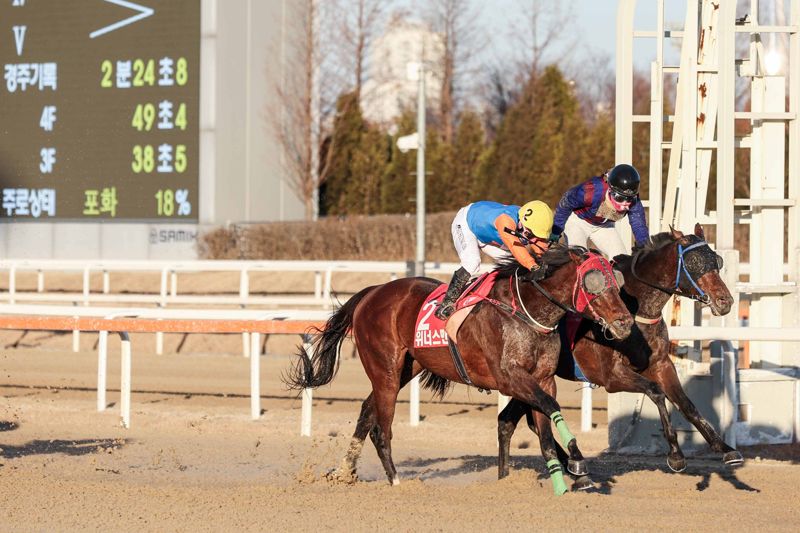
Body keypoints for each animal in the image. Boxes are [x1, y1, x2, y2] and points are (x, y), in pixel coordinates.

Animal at [284, 245, 636, 494]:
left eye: (616, 281)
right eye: (594, 282)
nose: (624, 322)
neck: (527, 311)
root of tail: (372, 292)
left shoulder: (543, 379)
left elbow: (546, 424)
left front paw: (567, 478)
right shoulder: (510, 379)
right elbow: (549, 409)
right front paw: (576, 462)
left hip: (404, 369)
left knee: (367, 412)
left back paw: (345, 472)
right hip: (385, 368)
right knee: (381, 428)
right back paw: (396, 482)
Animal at [496, 222, 740, 480]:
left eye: (716, 260)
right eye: (693, 262)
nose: (725, 301)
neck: (636, 310)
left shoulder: (661, 364)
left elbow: (687, 404)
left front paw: (725, 448)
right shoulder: (611, 376)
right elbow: (656, 392)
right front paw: (675, 454)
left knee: (510, 420)